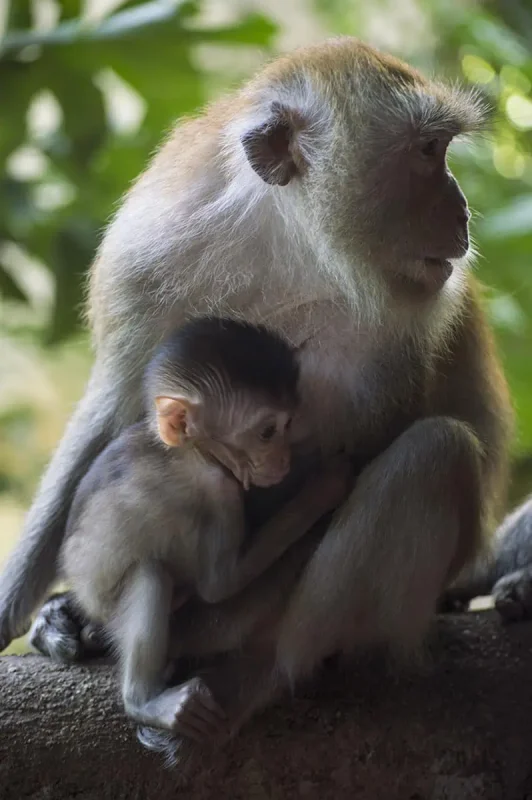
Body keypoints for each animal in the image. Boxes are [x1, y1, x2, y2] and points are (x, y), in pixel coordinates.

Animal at [58, 317, 353, 737]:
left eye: (288, 424)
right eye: (267, 432)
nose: (284, 458)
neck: (192, 451)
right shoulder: (219, 491)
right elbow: (219, 584)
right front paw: (325, 487)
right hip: (102, 597)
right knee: (150, 575)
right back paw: (144, 701)